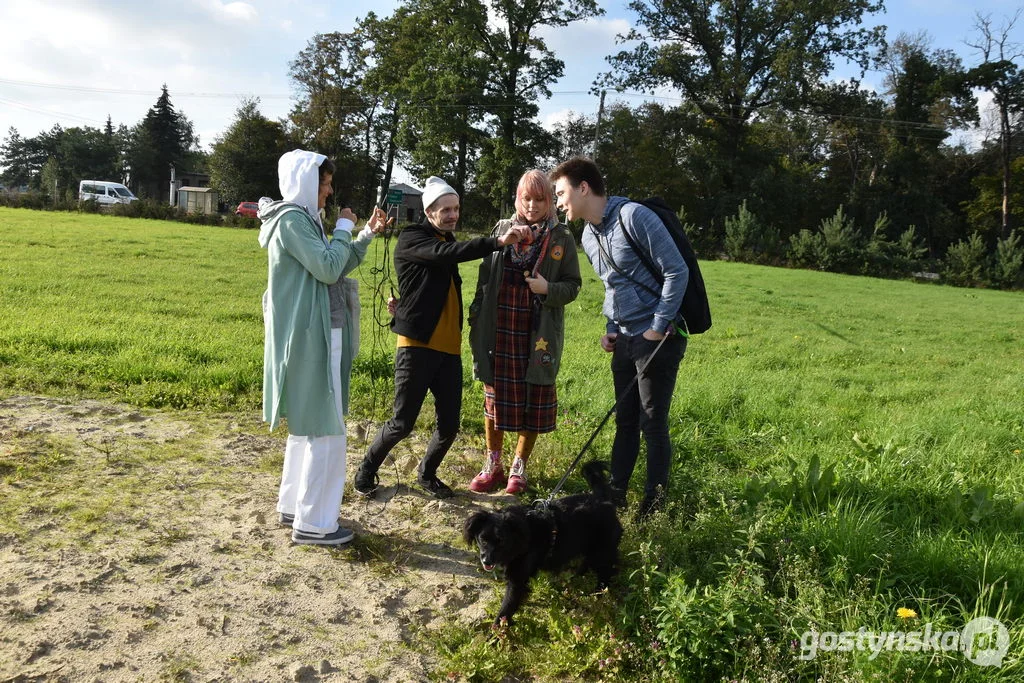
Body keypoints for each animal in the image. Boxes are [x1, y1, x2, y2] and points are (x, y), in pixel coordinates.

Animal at [464, 458, 622, 626]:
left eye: (501, 541)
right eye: (482, 539)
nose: (486, 561)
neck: (520, 536)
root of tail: (604, 500)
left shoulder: (518, 578)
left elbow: (508, 605)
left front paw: (498, 629)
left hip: (602, 550)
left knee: (605, 572)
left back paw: (596, 594)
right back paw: (576, 578)